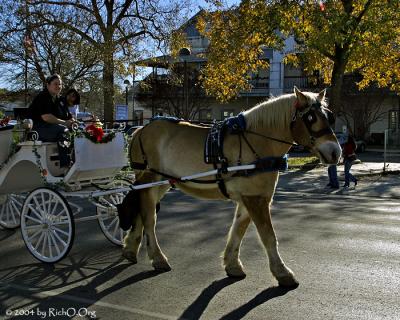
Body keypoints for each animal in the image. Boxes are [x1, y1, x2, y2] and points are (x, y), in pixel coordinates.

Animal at [119, 86, 340, 286]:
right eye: (310, 118)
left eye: (328, 116)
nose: (335, 152)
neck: (257, 141)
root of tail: (140, 129)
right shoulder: (255, 199)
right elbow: (268, 236)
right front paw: (282, 273)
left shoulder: (250, 198)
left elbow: (238, 229)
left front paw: (232, 264)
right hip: (150, 178)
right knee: (149, 218)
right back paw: (157, 257)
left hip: (161, 182)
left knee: (141, 211)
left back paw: (130, 248)